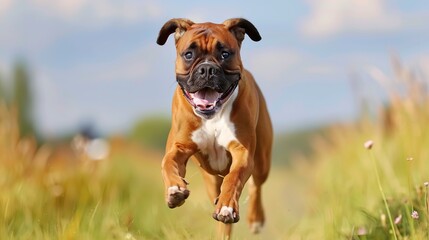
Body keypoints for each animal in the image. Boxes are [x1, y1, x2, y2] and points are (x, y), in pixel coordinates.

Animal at [156, 18, 270, 236]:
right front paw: (175, 189)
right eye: (189, 54)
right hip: (211, 180)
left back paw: (254, 219)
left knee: (256, 186)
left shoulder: (243, 152)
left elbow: (234, 178)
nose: (207, 69)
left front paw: (227, 206)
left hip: (261, 162)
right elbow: (168, 162)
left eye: (225, 54)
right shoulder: (179, 148)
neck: (212, 117)